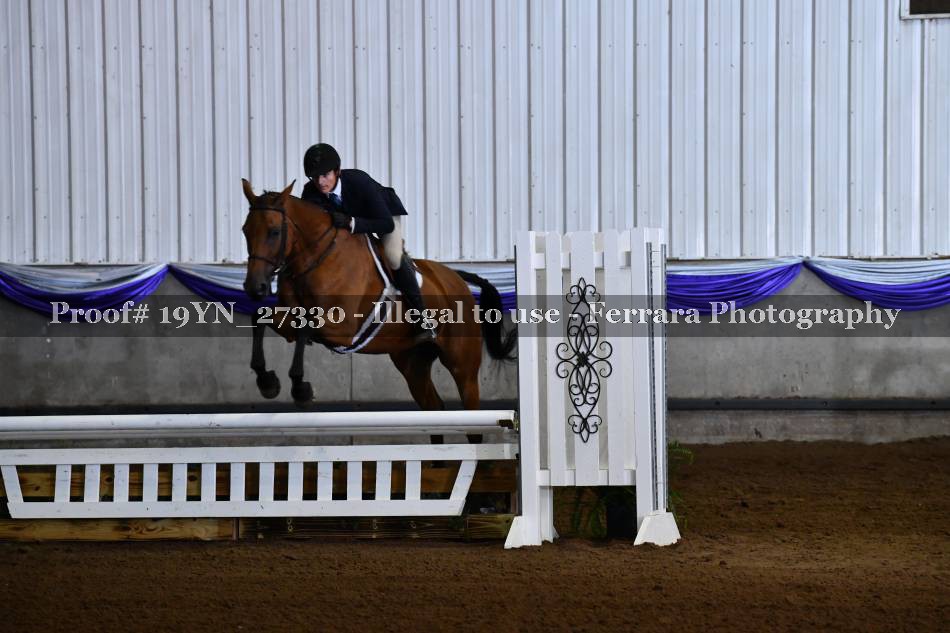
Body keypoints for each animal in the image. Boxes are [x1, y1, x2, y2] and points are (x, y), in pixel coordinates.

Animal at [240, 179, 516, 412]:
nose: (255, 287)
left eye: (274, 232)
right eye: (245, 230)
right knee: (434, 407)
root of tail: (455, 277)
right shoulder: (289, 320)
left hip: (463, 368)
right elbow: (261, 318)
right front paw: (267, 382)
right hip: (413, 364)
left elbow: (306, 327)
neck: (314, 257)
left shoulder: (342, 328)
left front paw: (301, 390)